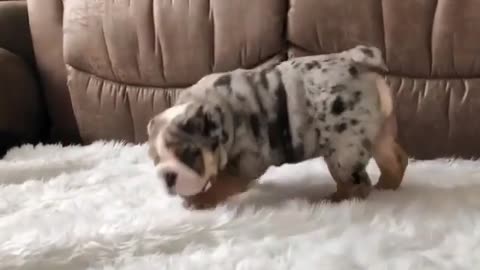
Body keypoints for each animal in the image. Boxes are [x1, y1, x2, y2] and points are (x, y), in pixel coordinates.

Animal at [147, 44, 408, 209]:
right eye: (155, 160)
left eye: (189, 154)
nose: (166, 176)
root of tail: (356, 59)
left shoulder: (245, 161)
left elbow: (222, 184)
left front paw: (200, 201)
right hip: (379, 134)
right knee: (395, 160)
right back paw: (386, 188)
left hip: (343, 149)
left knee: (356, 183)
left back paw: (336, 201)